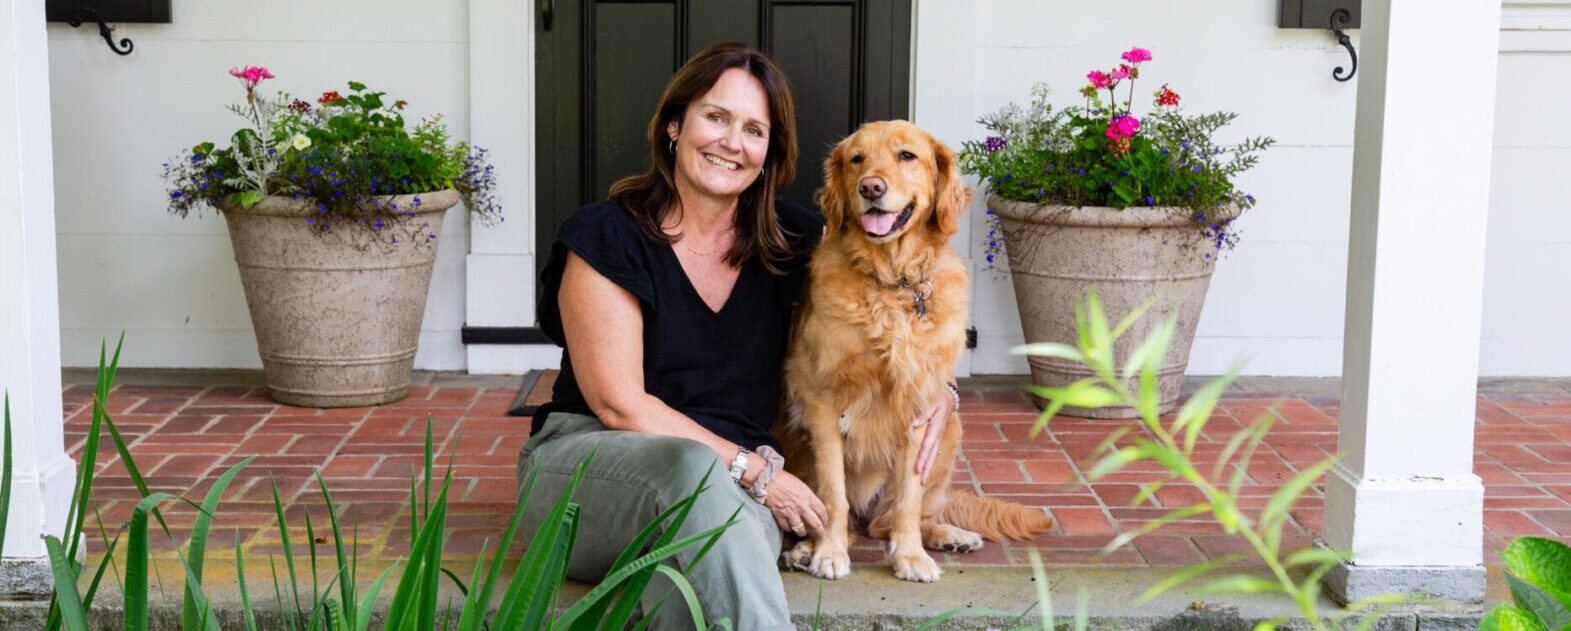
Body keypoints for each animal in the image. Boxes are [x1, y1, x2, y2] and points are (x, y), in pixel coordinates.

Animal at [776, 120, 1049, 583]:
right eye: (857, 159)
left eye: (906, 155)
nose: (871, 187)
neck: (892, 281)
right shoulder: (821, 401)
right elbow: (832, 494)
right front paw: (829, 552)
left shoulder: (919, 405)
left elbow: (908, 498)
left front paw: (910, 556)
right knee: (850, 520)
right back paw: (805, 549)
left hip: (950, 426)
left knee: (888, 519)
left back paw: (947, 534)